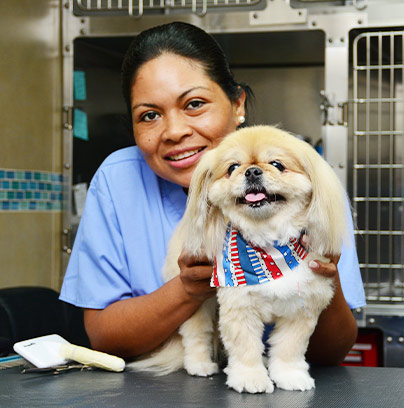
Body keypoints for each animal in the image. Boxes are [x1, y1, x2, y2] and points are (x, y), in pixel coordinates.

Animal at [129, 126, 350, 394]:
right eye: (232, 167)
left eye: (277, 164)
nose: (252, 170)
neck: (269, 249)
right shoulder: (240, 307)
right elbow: (245, 347)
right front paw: (249, 378)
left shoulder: (301, 308)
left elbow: (289, 348)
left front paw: (290, 376)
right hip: (197, 303)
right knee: (197, 334)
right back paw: (200, 364)